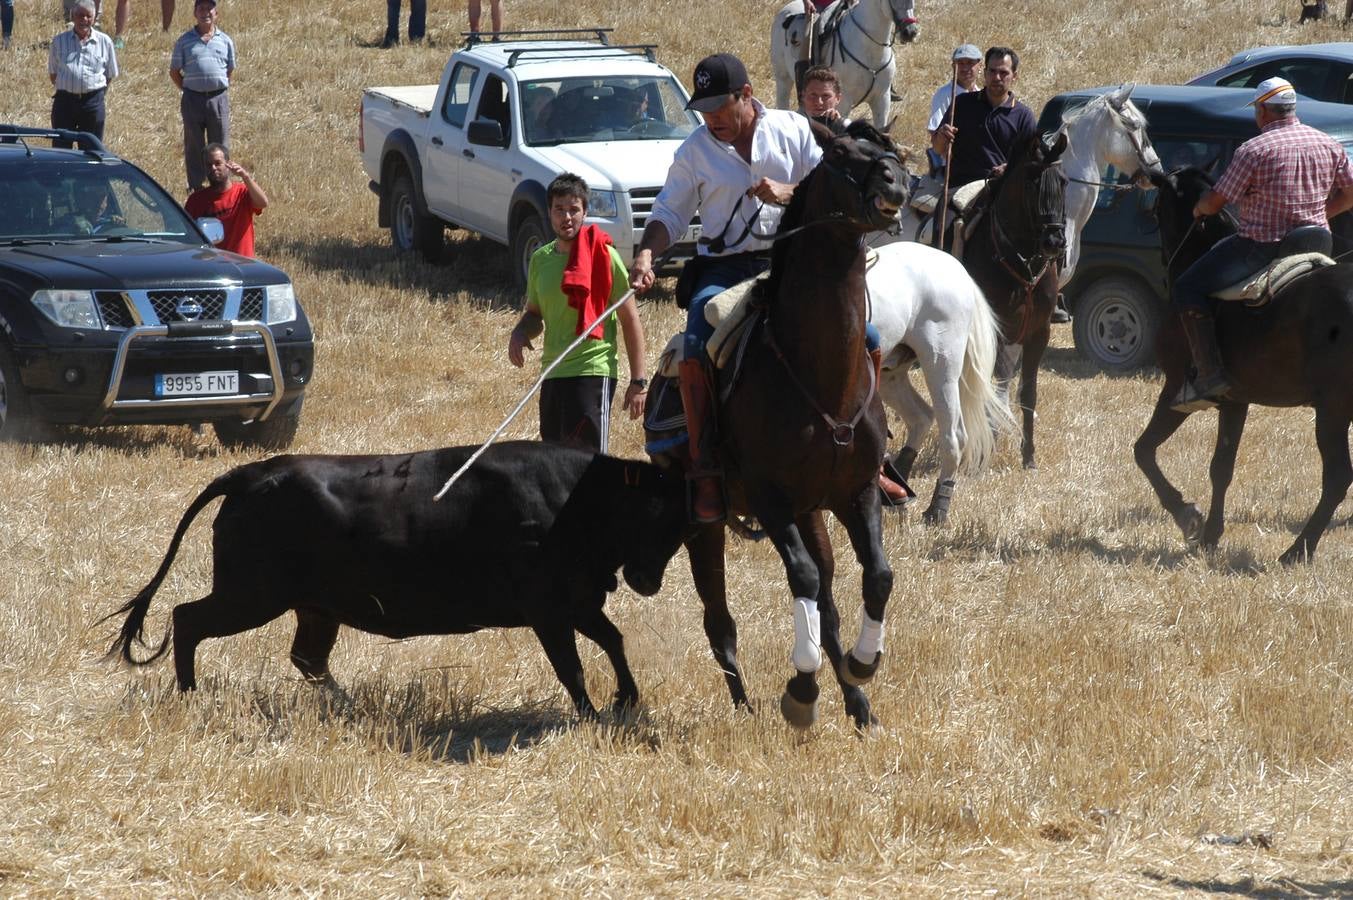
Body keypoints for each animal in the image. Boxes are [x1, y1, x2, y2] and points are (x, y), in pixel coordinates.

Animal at [104, 441, 692, 714]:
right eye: (664, 516)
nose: (647, 580)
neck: (575, 498)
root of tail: (250, 475)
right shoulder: (549, 609)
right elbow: (571, 667)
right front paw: (591, 714)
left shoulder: (578, 601)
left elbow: (613, 640)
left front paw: (626, 700)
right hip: (252, 595)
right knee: (188, 619)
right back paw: (189, 694)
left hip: (312, 606)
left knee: (308, 658)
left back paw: (347, 705)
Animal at [646, 123, 909, 730]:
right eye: (841, 153)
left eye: (888, 150)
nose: (896, 181)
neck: (819, 374)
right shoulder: (769, 498)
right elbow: (803, 580)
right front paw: (801, 691)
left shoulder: (856, 492)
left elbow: (876, 576)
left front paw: (864, 664)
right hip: (704, 523)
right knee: (720, 619)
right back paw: (746, 705)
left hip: (812, 512)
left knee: (829, 601)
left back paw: (858, 705)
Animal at [952, 136, 1066, 470]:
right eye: (1031, 182)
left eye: (1064, 182)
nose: (1055, 242)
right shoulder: (995, 332)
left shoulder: (1038, 333)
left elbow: (1027, 393)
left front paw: (1029, 455)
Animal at [1136, 165, 1347, 563]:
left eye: (1155, 209)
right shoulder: (1236, 401)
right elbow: (1222, 467)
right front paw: (1210, 534)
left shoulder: (1174, 391)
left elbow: (1143, 451)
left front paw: (1187, 516)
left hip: (1333, 411)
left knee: (1337, 479)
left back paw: (1297, 550)